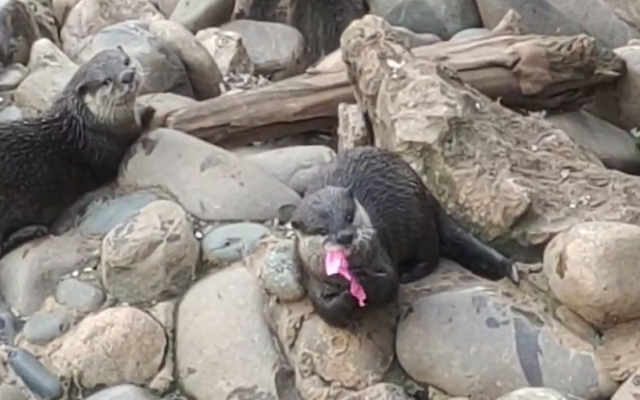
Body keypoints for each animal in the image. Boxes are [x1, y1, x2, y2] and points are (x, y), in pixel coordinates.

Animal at [0, 44, 154, 256]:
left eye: (125, 61)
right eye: (106, 81)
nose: (127, 75)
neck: (87, 126)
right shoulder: (112, 143)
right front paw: (148, 111)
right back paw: (30, 231)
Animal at [282, 145, 524, 326]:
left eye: (349, 216)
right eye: (322, 230)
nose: (345, 236)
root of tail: (425, 192)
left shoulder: (381, 251)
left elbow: (390, 283)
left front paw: (366, 279)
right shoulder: (310, 275)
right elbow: (326, 310)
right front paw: (345, 295)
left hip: (418, 224)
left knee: (432, 255)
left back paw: (409, 271)